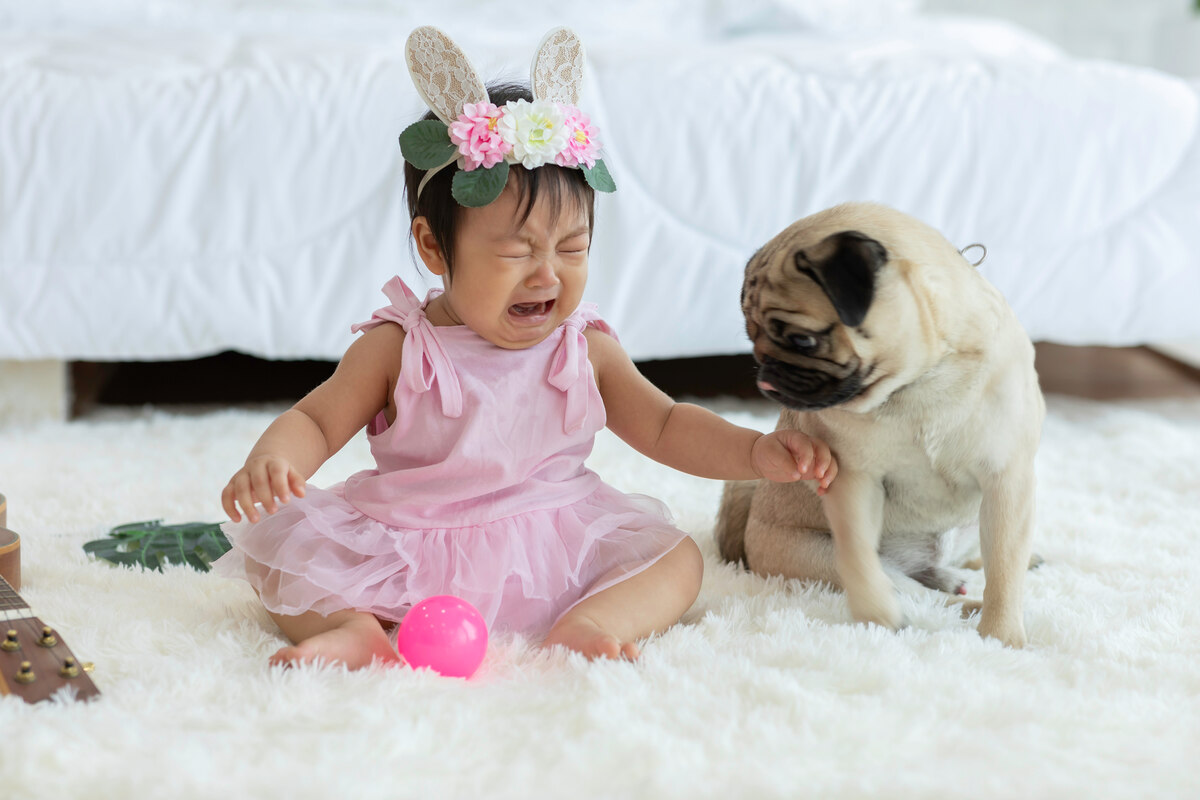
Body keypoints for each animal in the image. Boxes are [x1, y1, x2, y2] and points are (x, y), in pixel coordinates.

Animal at [715, 201, 1046, 652]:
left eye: (803, 341)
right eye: (752, 336)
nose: (764, 373)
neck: (923, 379)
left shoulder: (1006, 480)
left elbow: (1004, 571)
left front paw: (1002, 637)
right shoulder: (854, 479)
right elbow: (858, 555)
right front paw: (877, 614)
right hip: (815, 556)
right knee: (918, 592)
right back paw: (957, 600)